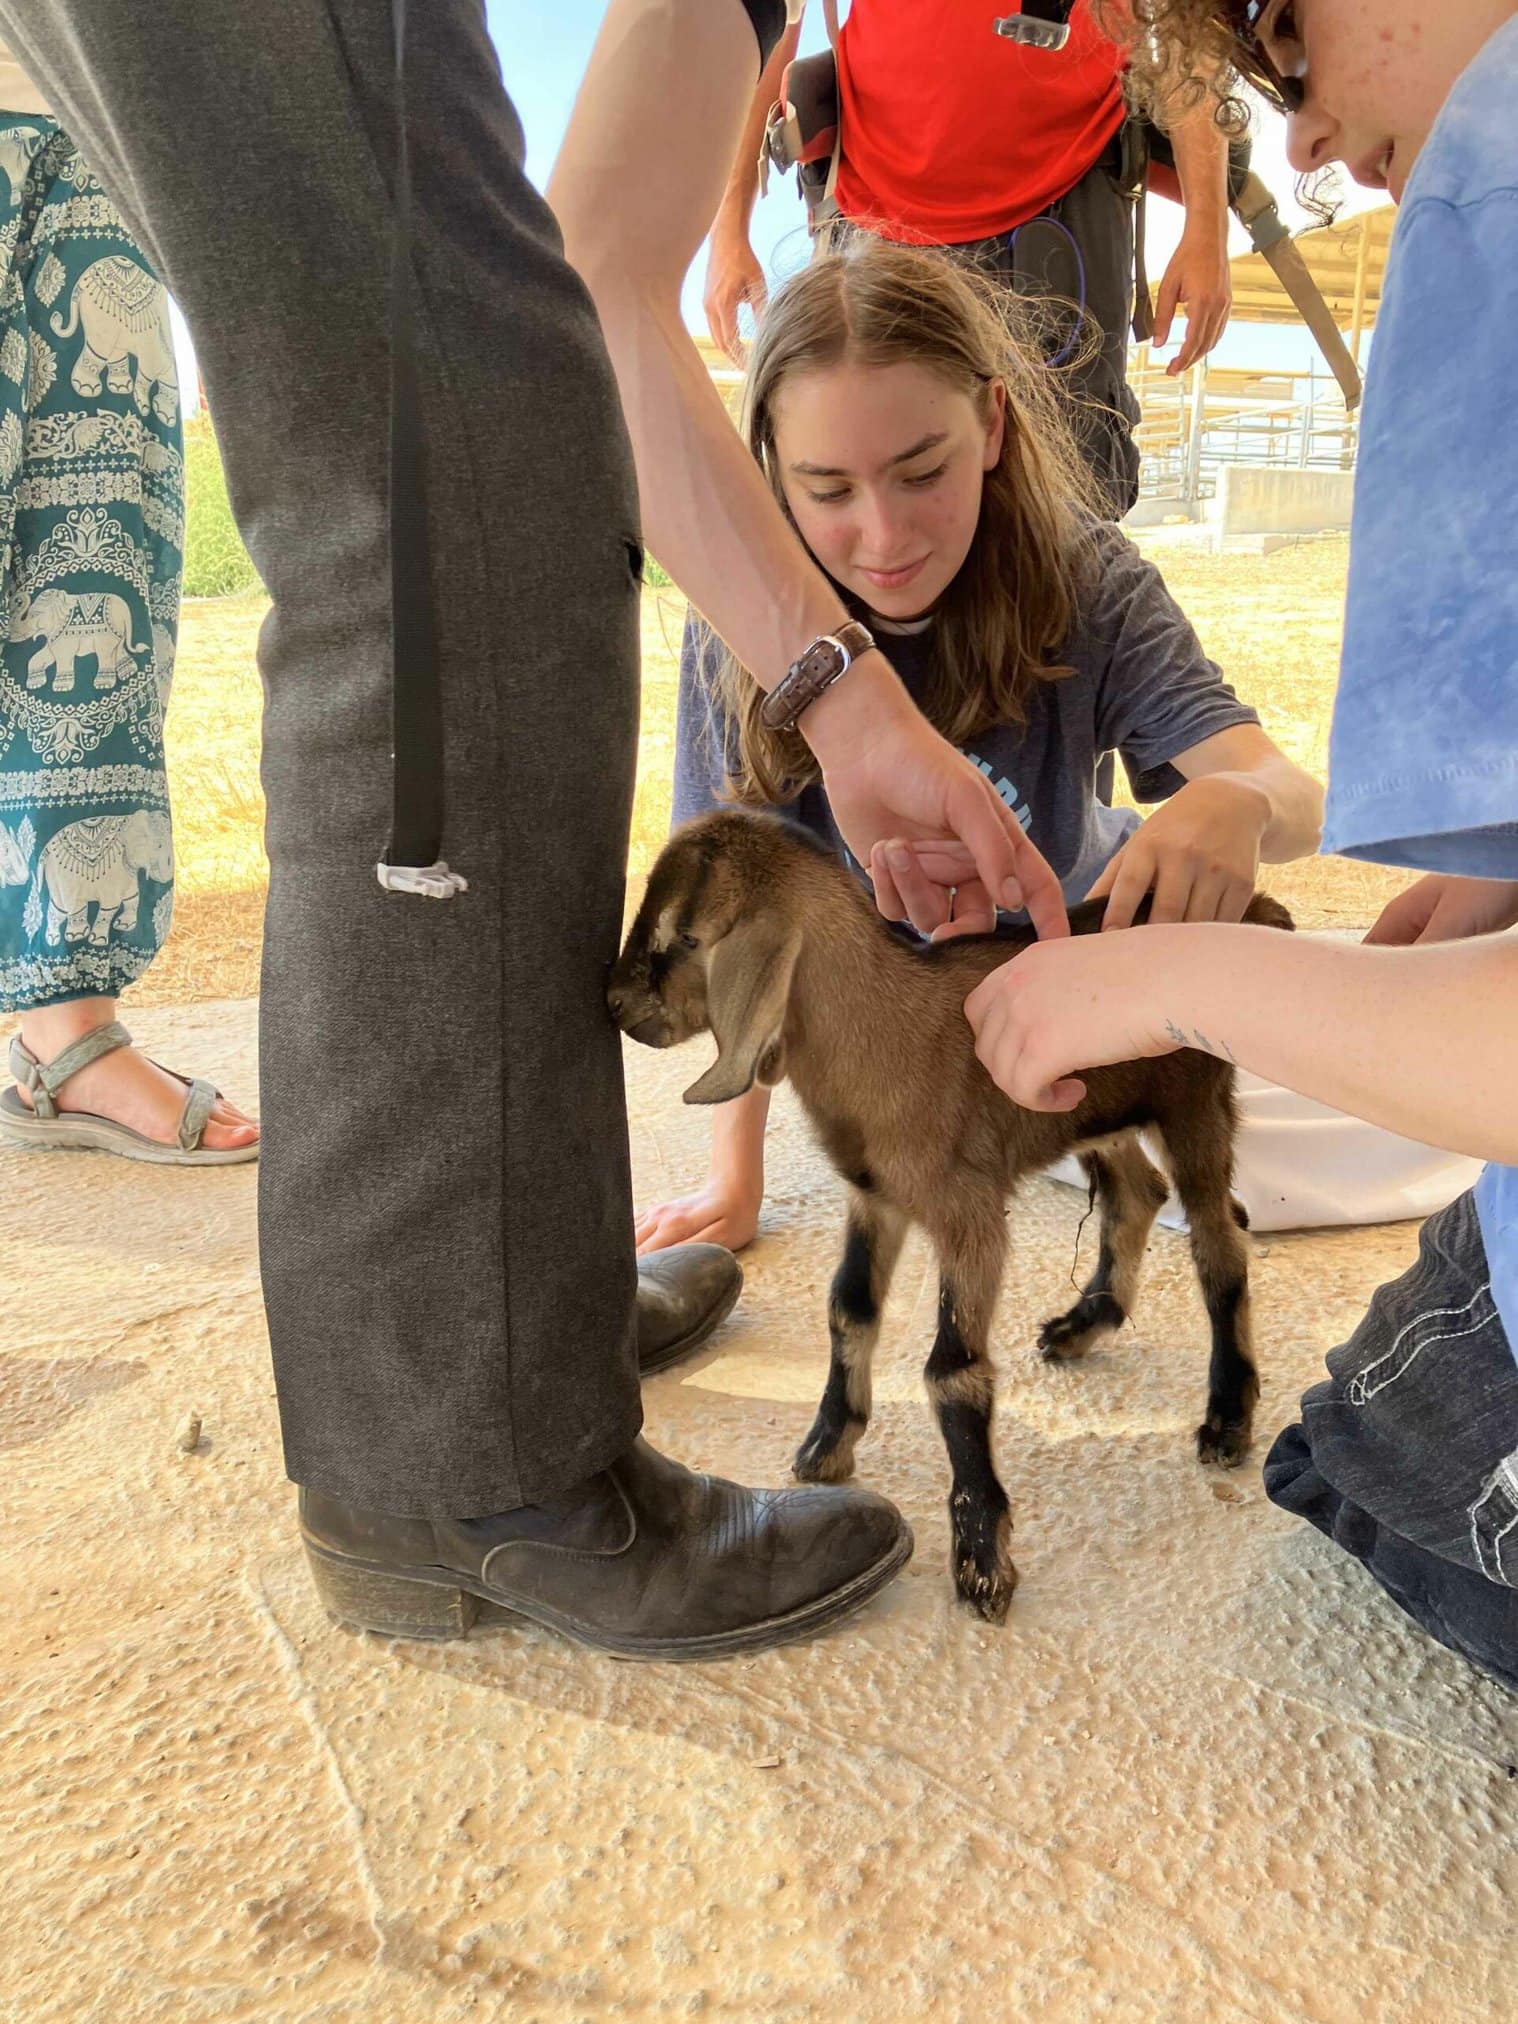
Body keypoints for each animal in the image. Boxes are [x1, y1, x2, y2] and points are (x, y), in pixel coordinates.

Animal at [609, 809, 1293, 1623]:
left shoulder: (969, 1214)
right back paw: (1083, 1324)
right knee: (1137, 1193)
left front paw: (981, 1559)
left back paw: (1227, 1418)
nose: (614, 1004)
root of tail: (1255, 912)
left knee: (1221, 1244)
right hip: (1099, 1113)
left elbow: (952, 1371)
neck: (884, 1035)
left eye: (686, 937)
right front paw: (827, 1445)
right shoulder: (874, 1197)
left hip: (1193, 1104)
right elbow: (849, 1309)